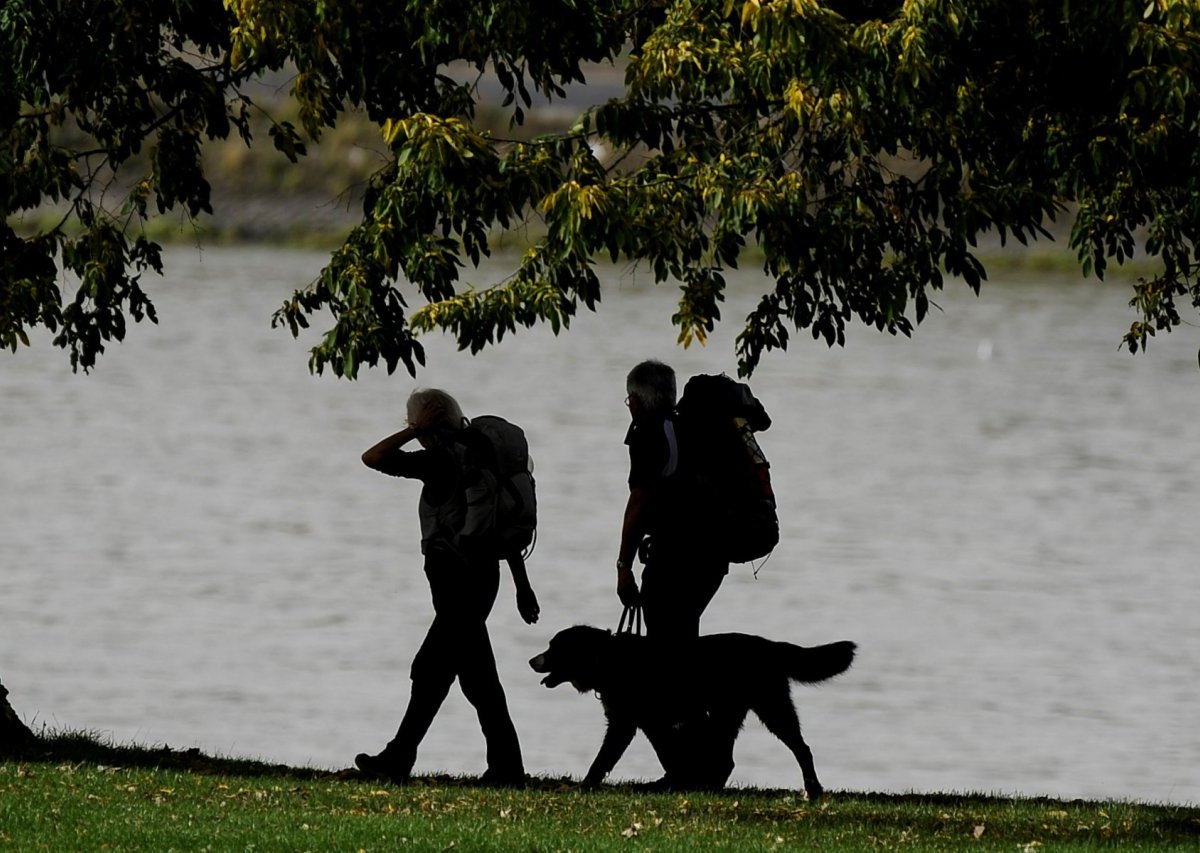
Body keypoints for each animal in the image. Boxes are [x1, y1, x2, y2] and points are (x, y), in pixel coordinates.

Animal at [528, 628, 854, 801]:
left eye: (554, 647)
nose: (532, 660)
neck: (608, 658)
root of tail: (770, 645)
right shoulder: (641, 723)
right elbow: (658, 755)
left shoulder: (633, 724)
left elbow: (608, 759)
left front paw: (586, 785)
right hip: (730, 712)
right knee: (729, 758)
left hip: (767, 709)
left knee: (801, 749)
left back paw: (812, 788)